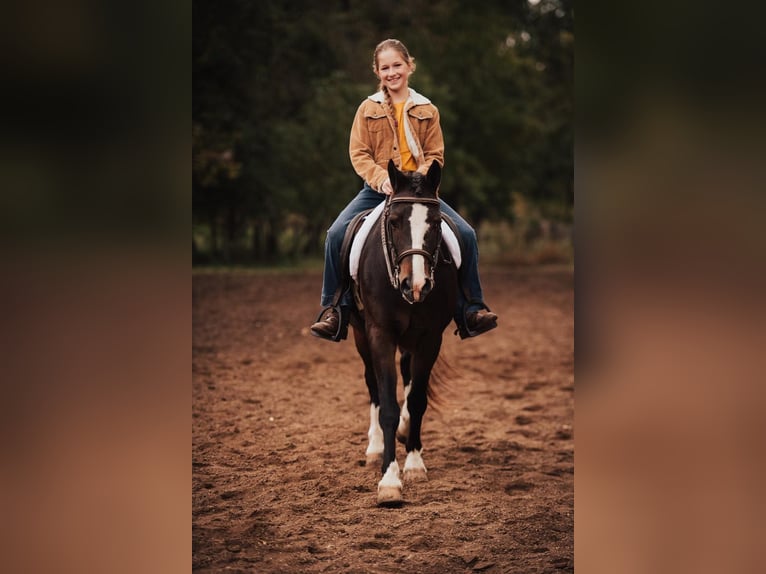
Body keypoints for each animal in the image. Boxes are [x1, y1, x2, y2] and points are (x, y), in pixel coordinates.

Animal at [352, 160, 460, 506]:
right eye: (395, 222)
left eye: (436, 222)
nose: (416, 284)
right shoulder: (379, 335)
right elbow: (386, 404)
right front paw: (389, 480)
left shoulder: (430, 339)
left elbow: (416, 401)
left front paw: (413, 464)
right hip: (361, 336)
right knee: (372, 384)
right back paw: (374, 448)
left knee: (409, 380)